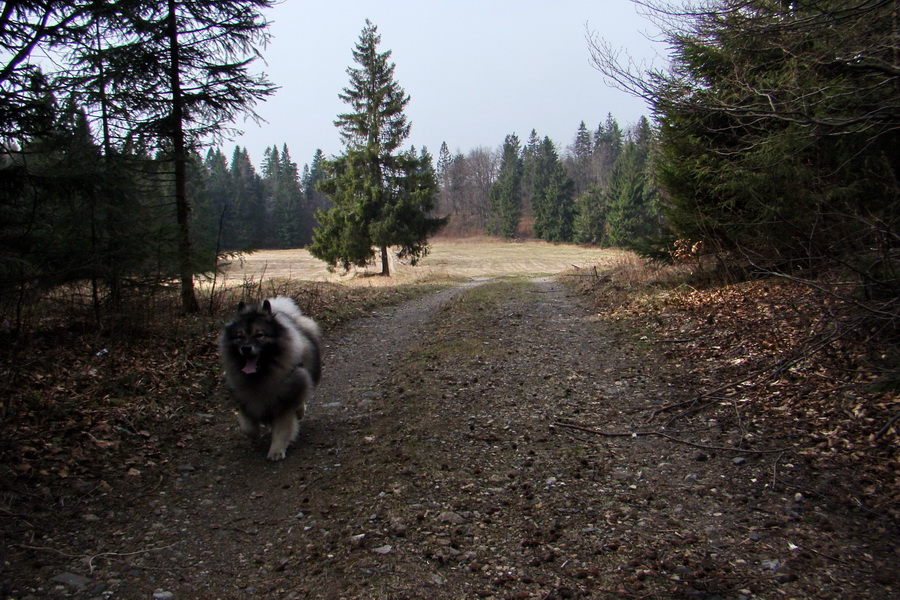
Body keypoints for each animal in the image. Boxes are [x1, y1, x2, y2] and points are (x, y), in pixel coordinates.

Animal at [219, 298, 324, 462]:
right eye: (239, 336)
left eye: (259, 335)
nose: (246, 348)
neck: (260, 376)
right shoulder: (243, 396)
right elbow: (247, 425)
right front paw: (255, 431)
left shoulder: (284, 401)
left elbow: (281, 428)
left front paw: (276, 450)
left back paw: (300, 411)